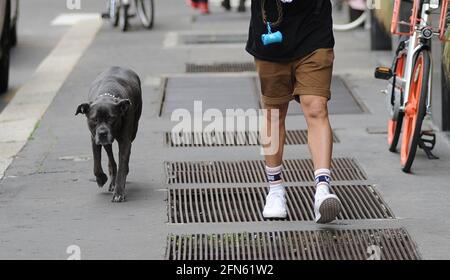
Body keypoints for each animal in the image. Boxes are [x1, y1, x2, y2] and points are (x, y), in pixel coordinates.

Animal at [75, 68, 142, 203]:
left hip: (133, 132)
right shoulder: (94, 138)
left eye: (111, 118)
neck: (106, 96)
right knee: (111, 158)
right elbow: (96, 163)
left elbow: (123, 165)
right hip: (105, 142)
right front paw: (101, 178)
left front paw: (119, 192)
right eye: (94, 119)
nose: (102, 133)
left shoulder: (125, 141)